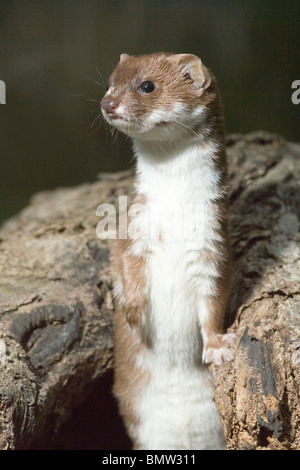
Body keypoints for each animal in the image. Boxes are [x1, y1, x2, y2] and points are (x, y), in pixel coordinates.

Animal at [101, 53, 234, 450]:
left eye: (147, 85)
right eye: (110, 83)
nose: (108, 103)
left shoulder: (214, 243)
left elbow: (214, 301)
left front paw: (218, 346)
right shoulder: (133, 228)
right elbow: (123, 264)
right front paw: (132, 310)